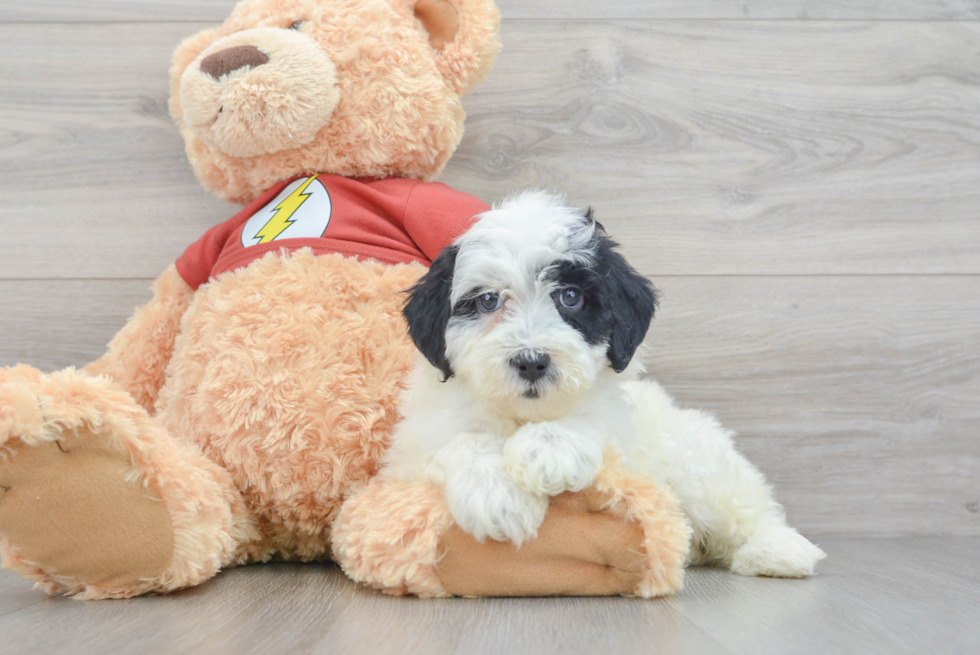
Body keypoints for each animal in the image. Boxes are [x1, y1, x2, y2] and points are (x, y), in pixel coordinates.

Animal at [382, 191, 828, 580]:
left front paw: (549, 448)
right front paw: (498, 492)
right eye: (488, 301)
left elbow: (591, 420)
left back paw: (776, 550)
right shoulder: (415, 449)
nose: (532, 361)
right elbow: (463, 439)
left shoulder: (618, 429)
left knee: (746, 508)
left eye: (570, 297)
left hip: (696, 465)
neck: (522, 418)